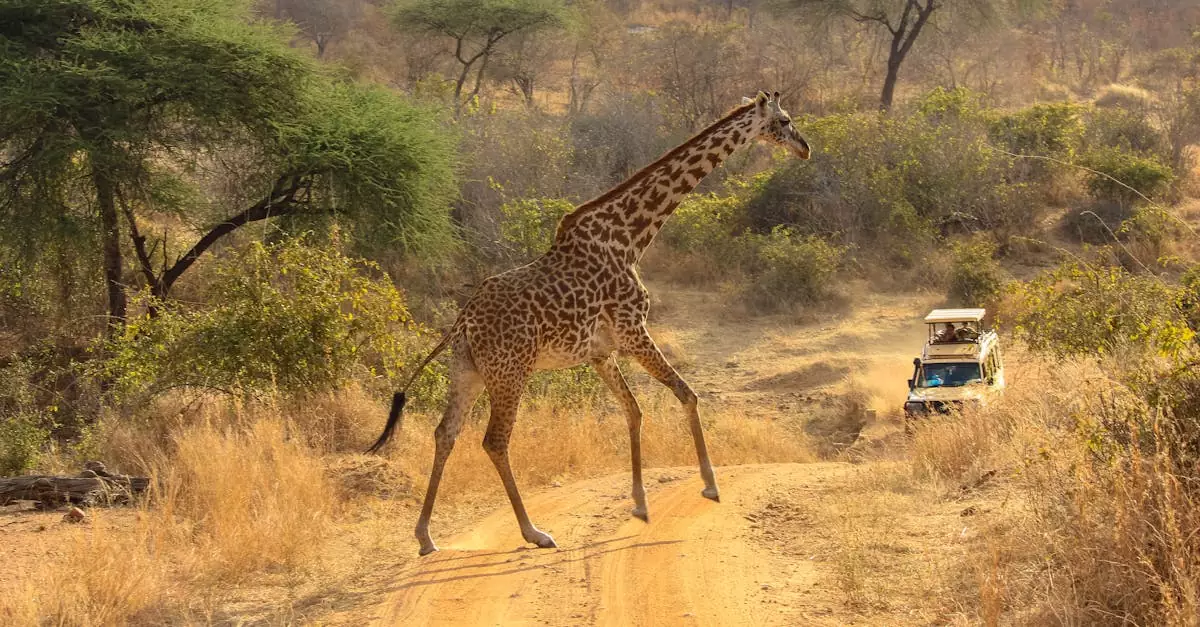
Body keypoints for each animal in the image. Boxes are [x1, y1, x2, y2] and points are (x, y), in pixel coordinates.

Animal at [368, 91, 810, 556]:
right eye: (784, 120)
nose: (805, 148)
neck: (631, 238)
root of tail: (463, 319)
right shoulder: (634, 331)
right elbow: (686, 395)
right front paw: (710, 487)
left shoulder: (601, 352)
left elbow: (633, 411)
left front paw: (640, 505)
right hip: (510, 371)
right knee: (494, 440)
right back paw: (534, 532)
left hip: (467, 369)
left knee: (445, 433)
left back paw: (425, 536)